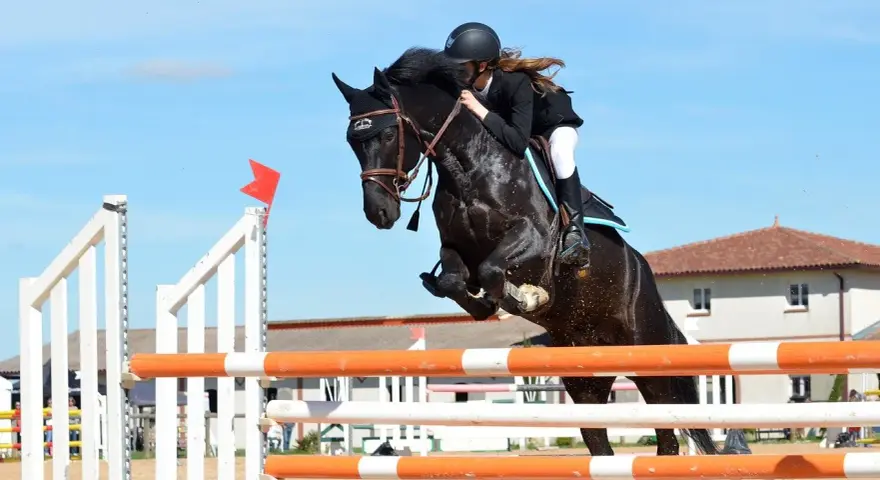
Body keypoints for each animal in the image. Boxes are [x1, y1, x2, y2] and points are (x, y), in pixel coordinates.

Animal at [331, 47, 719, 457]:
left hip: (648, 356)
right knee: (601, 441)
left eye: (389, 133)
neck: (469, 167)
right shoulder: (455, 249)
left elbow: (494, 269)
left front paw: (528, 296)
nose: (378, 212)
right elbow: (456, 281)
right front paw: (491, 303)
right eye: (352, 142)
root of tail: (643, 272)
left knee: (668, 434)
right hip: (585, 377)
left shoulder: (534, 239)